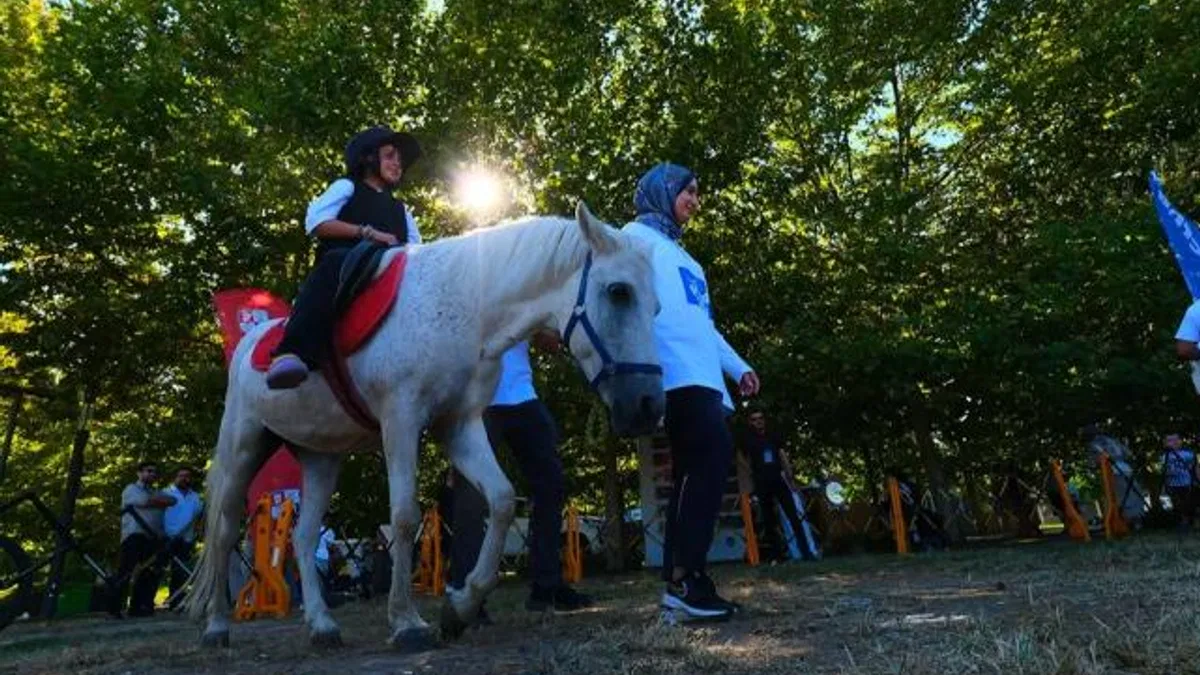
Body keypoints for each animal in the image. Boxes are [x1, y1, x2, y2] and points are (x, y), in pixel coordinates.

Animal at [185, 203, 664, 650]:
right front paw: (406, 622)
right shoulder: (401, 420)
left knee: (303, 537)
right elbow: (403, 517)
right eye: (618, 292)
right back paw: (216, 627)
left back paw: (322, 625)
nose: (648, 404)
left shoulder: (460, 426)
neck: (464, 308)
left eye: (656, 305)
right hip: (245, 444)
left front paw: (461, 607)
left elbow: (502, 500)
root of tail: (252, 339)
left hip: (321, 457)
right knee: (225, 531)